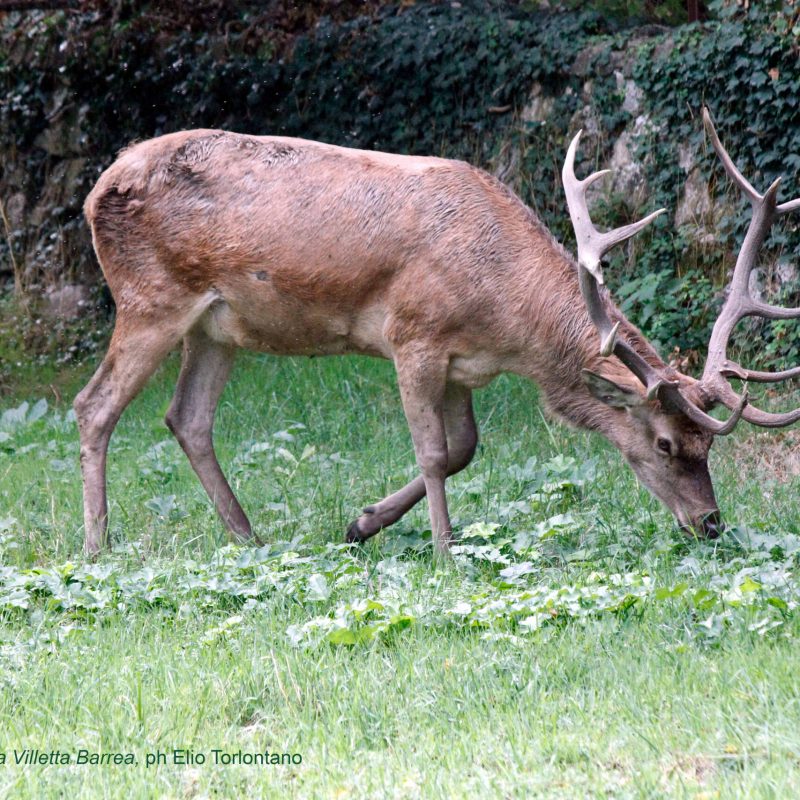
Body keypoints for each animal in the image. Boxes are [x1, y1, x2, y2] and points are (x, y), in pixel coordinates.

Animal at [76, 108, 800, 556]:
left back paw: (248, 537)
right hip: (149, 298)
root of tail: (94, 191)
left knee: (186, 417)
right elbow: (431, 453)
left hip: (218, 326)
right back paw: (97, 546)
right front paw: (445, 552)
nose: (710, 522)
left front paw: (361, 523)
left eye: (708, 448)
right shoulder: (413, 336)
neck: (506, 321)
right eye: (665, 444)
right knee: (95, 406)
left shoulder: (463, 365)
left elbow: (463, 450)